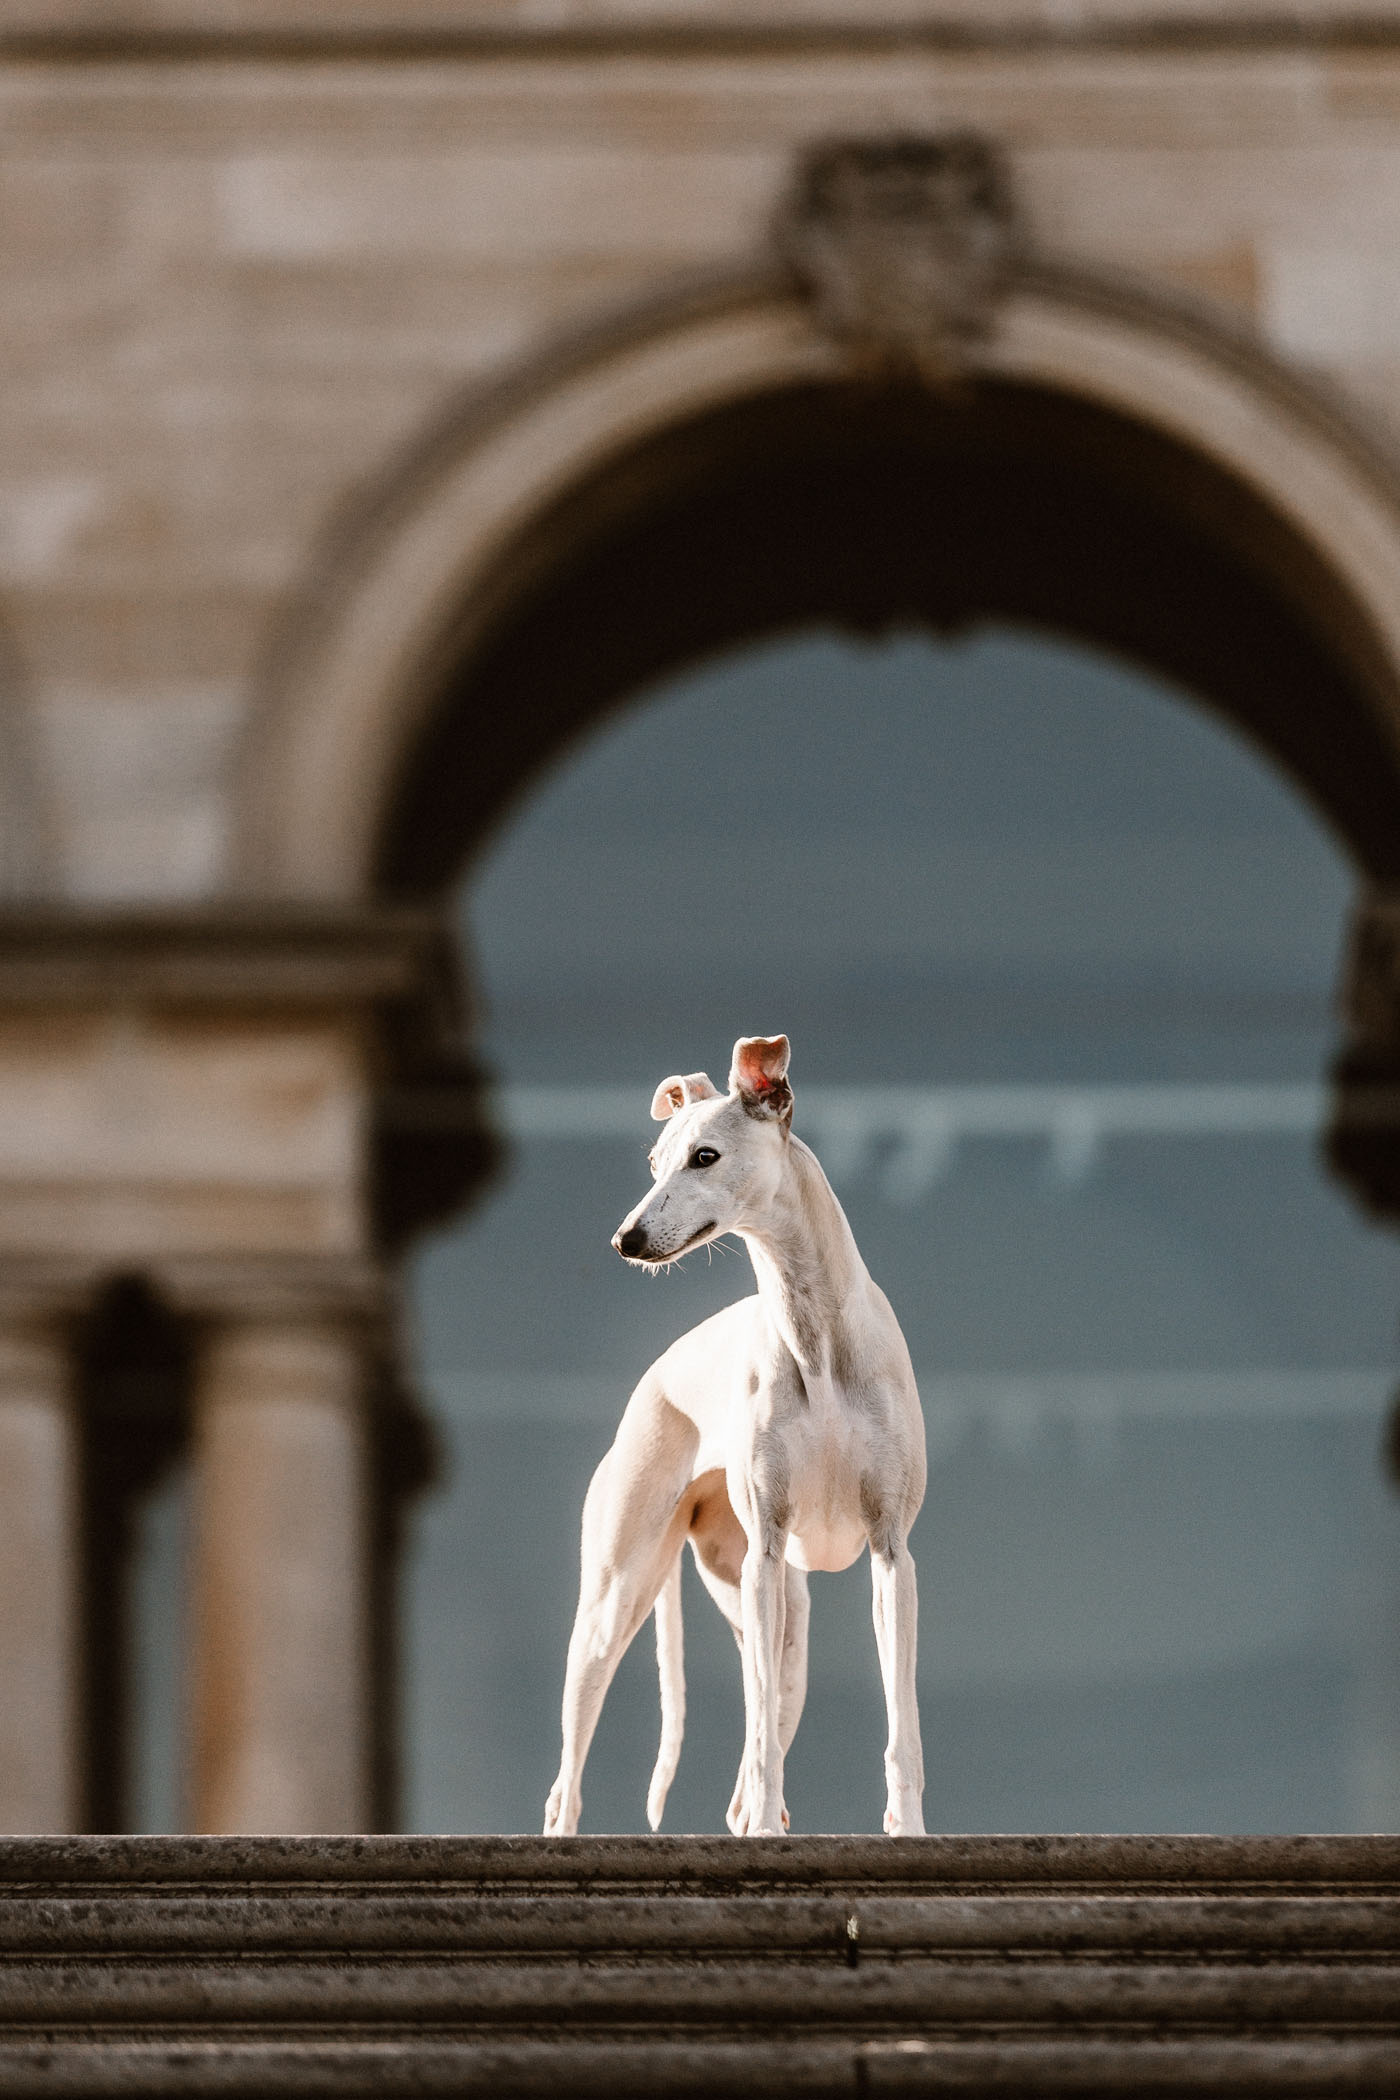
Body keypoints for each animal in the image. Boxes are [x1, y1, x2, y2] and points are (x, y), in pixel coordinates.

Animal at [545, 1033, 931, 1839]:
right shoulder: (767, 1551)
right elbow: (758, 1744)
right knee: (567, 1784)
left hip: (785, 1626)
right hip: (618, 1601)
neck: (817, 1340)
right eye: (654, 1161)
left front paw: (907, 1828)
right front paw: (769, 1825)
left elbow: (901, 1724)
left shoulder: (891, 1553)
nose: (625, 1239)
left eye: (705, 1157)